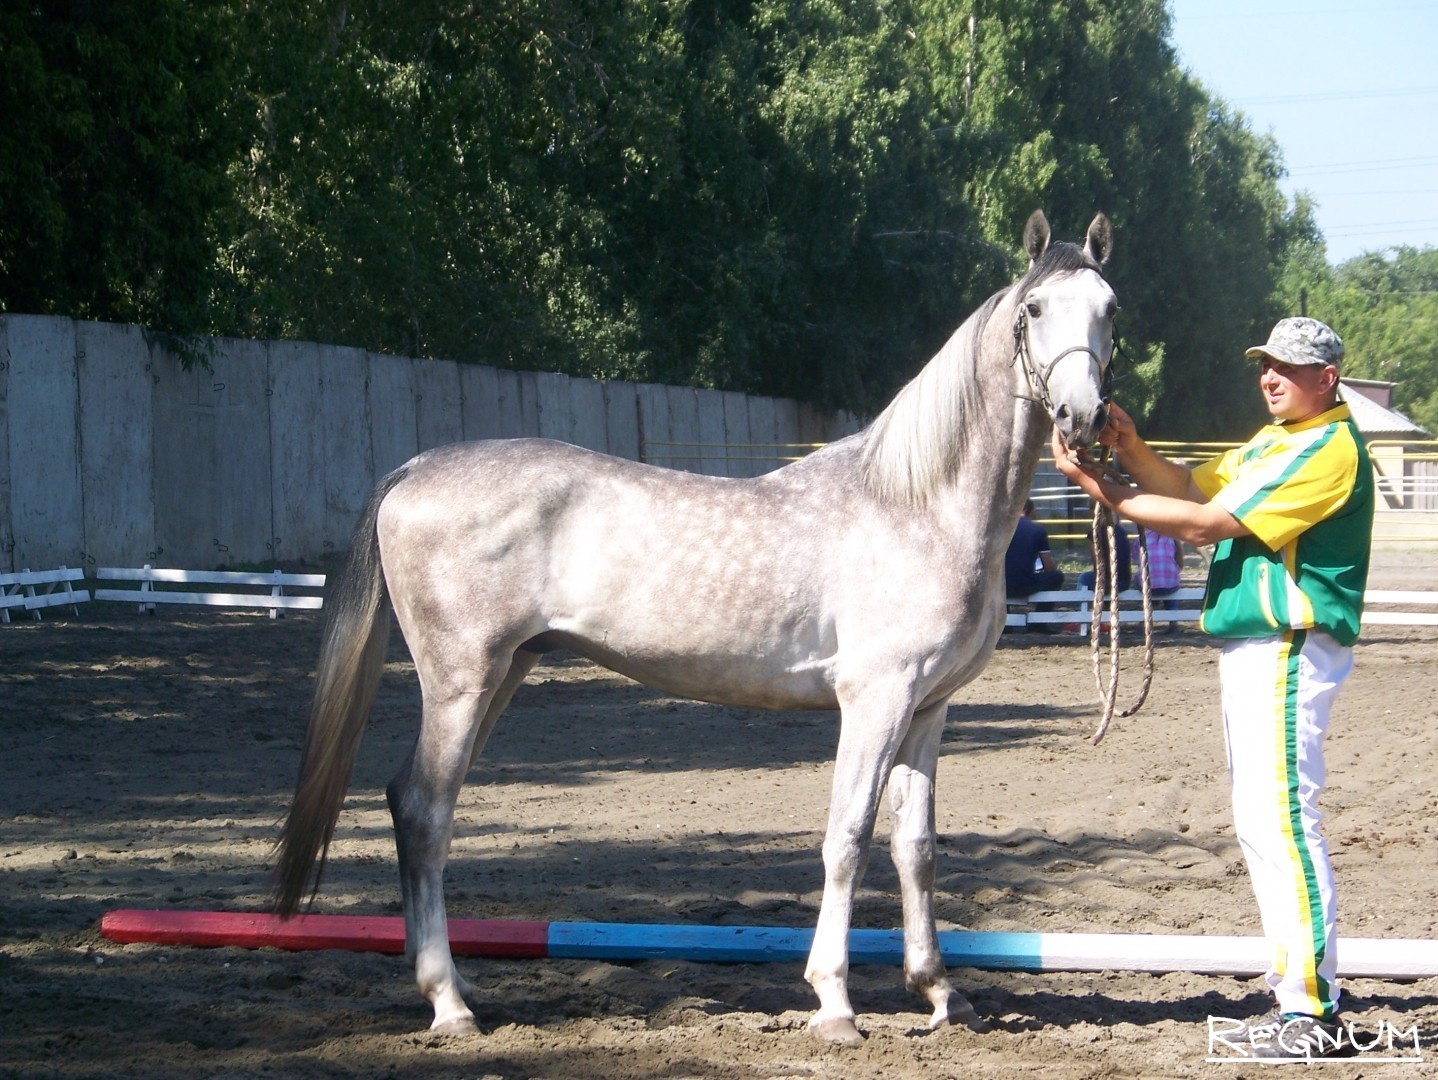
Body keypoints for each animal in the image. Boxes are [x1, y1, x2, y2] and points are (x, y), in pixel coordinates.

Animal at [274, 211, 1115, 1046]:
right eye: (1034, 309)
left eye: (1110, 308)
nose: (1082, 417)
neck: (918, 506)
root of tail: (412, 470)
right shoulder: (874, 698)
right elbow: (847, 838)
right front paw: (835, 1003)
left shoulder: (927, 707)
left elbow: (916, 847)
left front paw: (939, 992)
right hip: (460, 683)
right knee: (423, 810)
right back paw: (448, 1002)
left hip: (502, 675)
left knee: (424, 808)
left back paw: (460, 985)